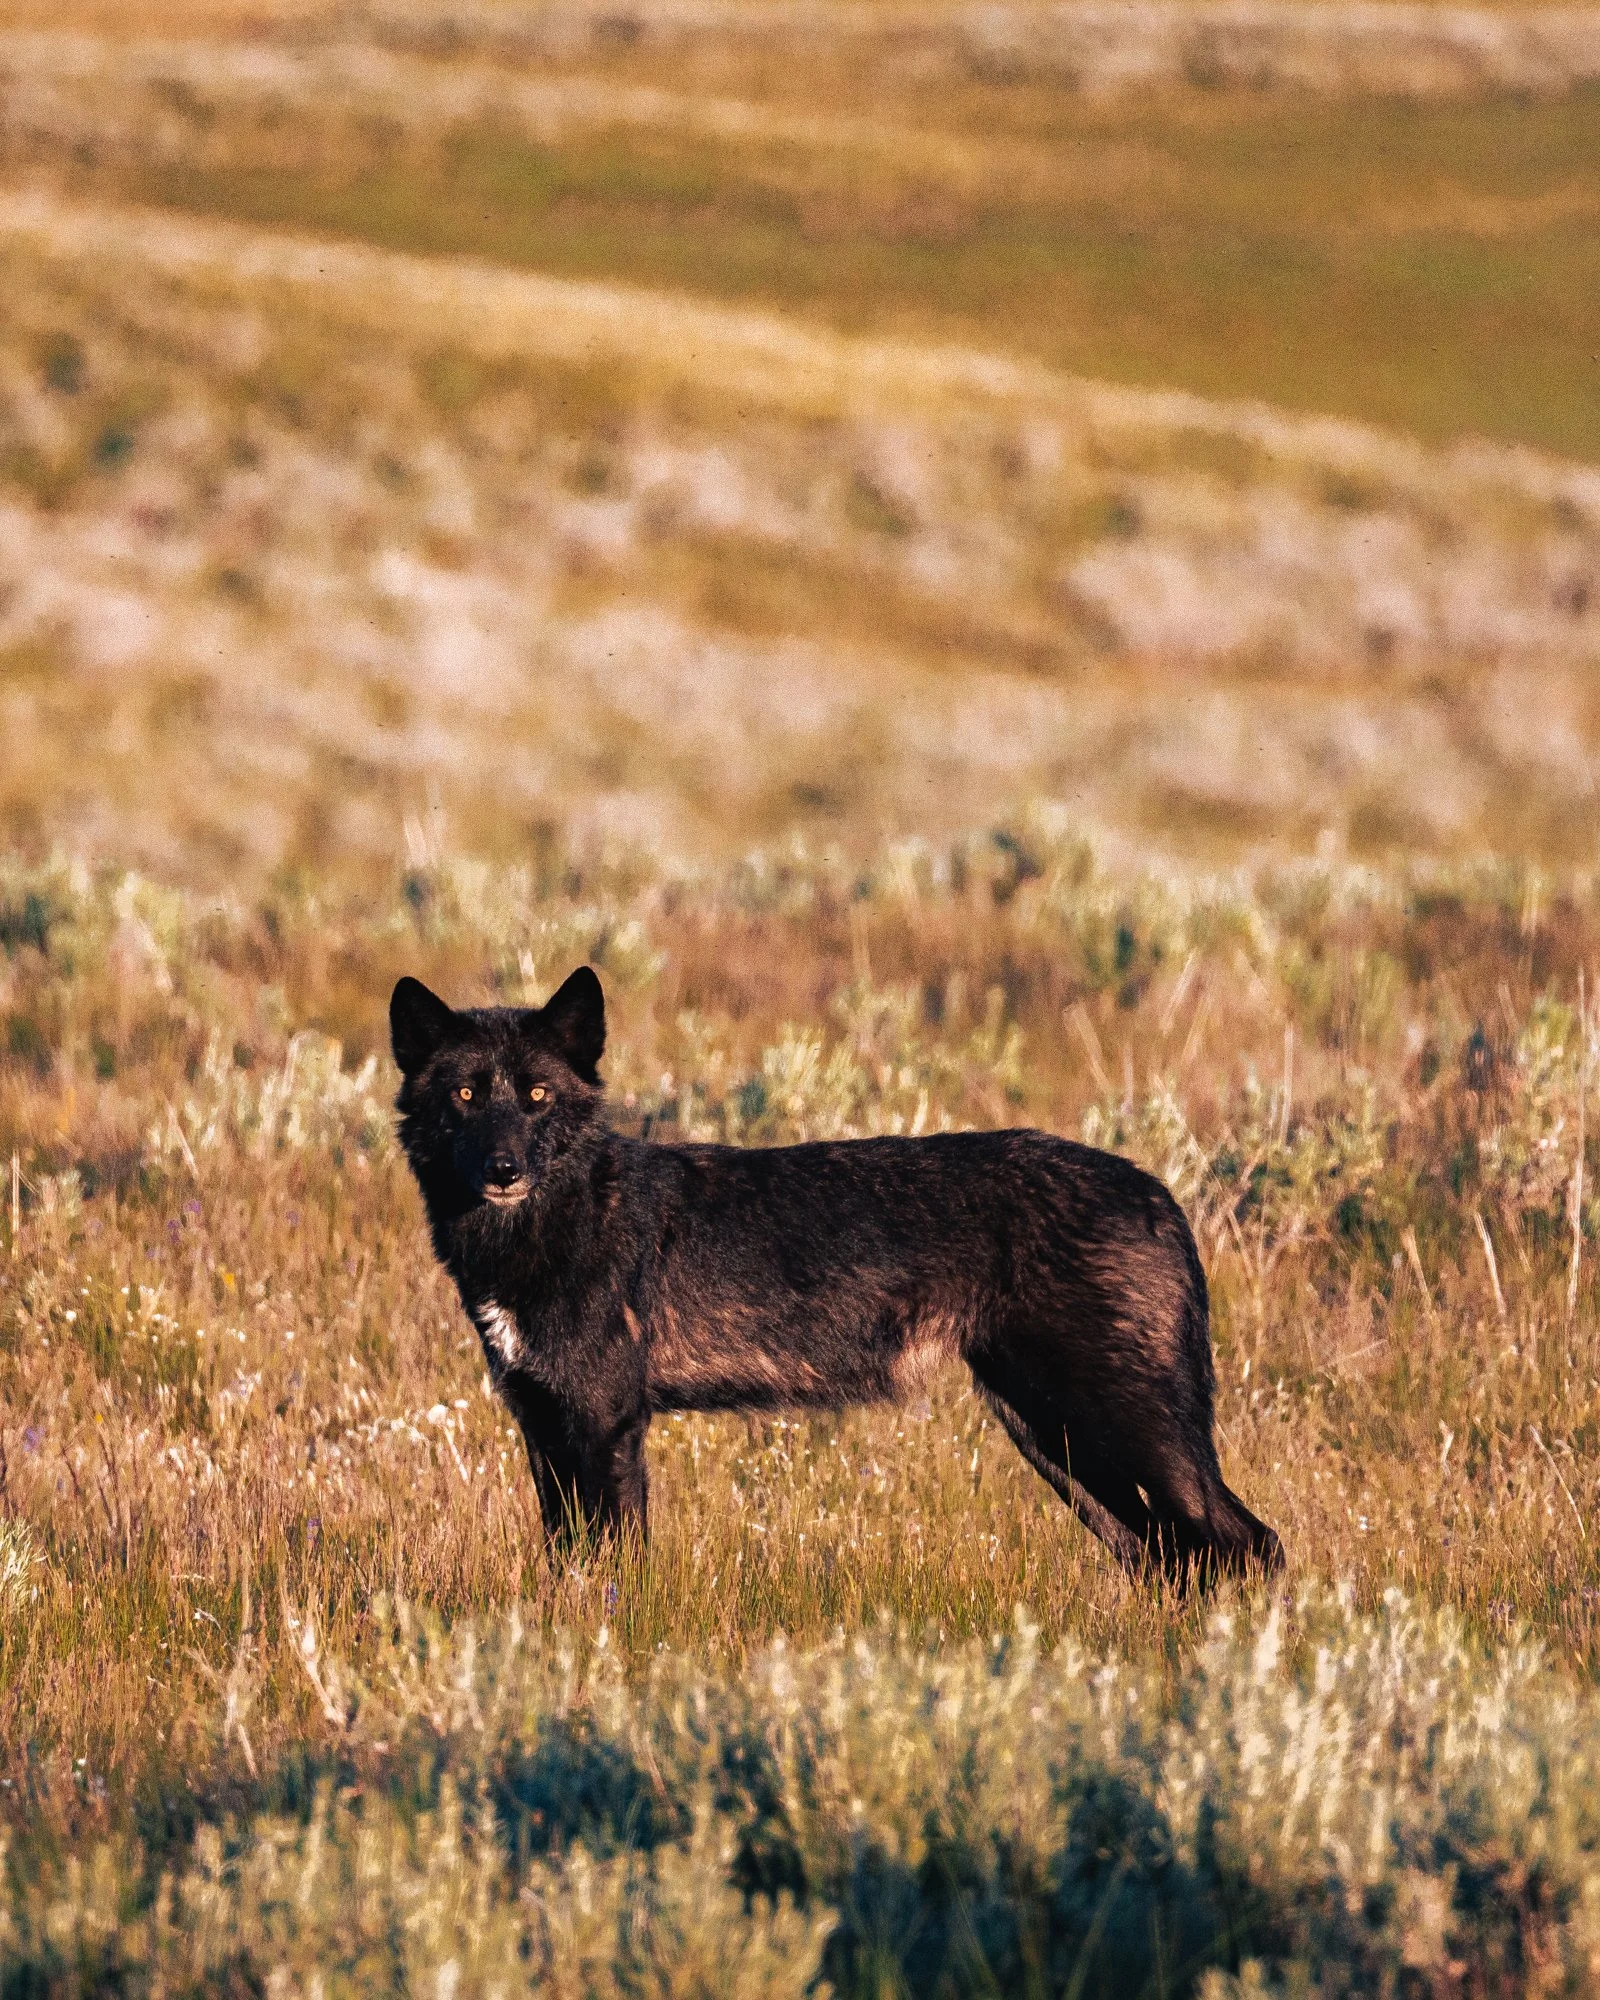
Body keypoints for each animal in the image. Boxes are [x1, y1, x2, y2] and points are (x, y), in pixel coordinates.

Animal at [390, 967, 1282, 1582]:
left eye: (538, 1095)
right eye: (466, 1094)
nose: (504, 1169)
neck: (550, 1225)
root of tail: (1155, 1187)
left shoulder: (608, 1425)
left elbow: (615, 1567)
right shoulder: (543, 1427)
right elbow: (567, 1562)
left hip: (1114, 1429)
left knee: (1249, 1544)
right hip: (1056, 1440)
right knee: (1169, 1557)